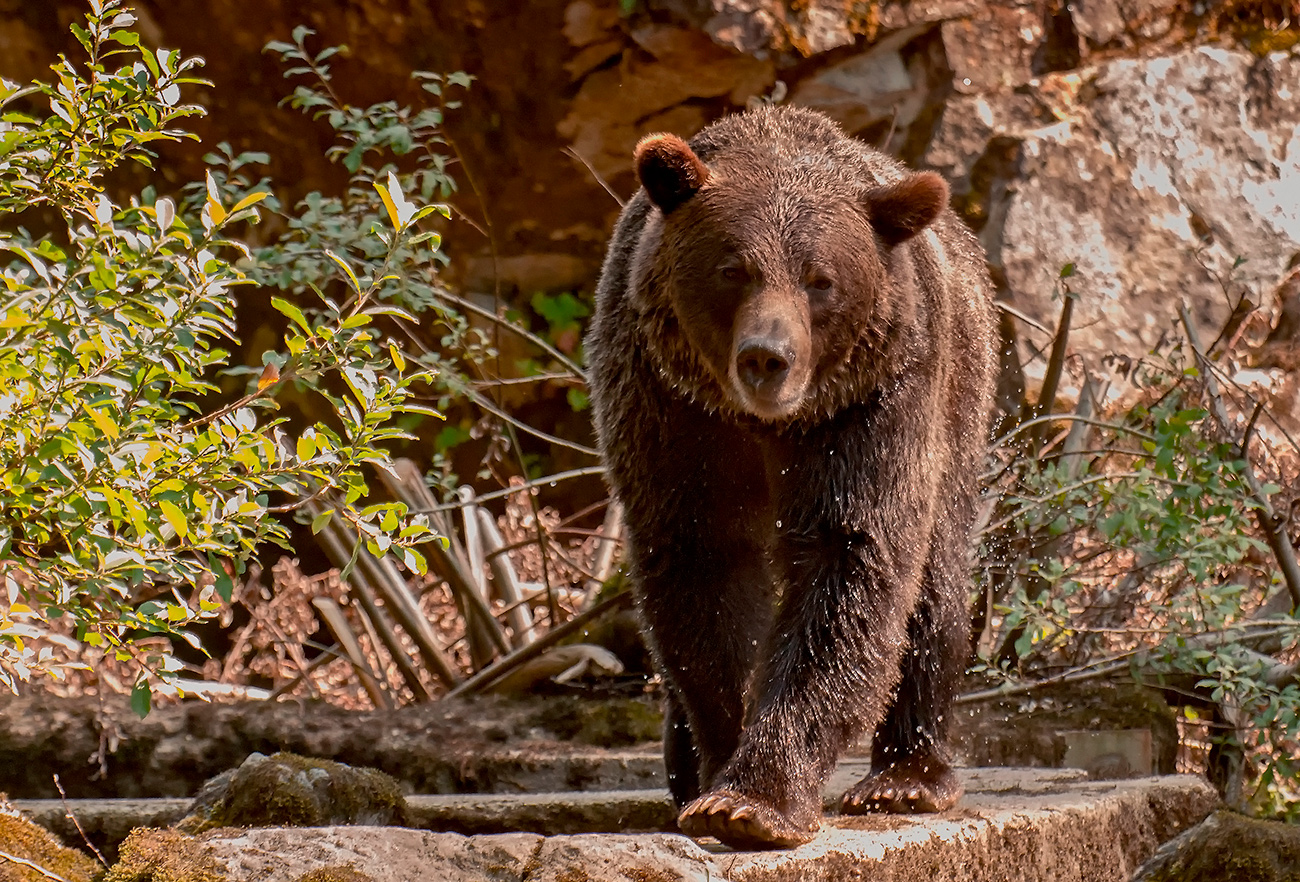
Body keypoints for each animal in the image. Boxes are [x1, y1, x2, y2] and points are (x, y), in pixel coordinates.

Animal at [587, 103, 993, 848]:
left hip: (960, 394)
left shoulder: (869, 402)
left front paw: (754, 799)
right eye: (733, 269)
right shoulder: (668, 404)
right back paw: (681, 768)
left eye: (819, 279)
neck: (763, 424)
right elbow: (702, 571)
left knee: (934, 580)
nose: (766, 358)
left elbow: (849, 558)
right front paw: (716, 774)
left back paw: (907, 776)